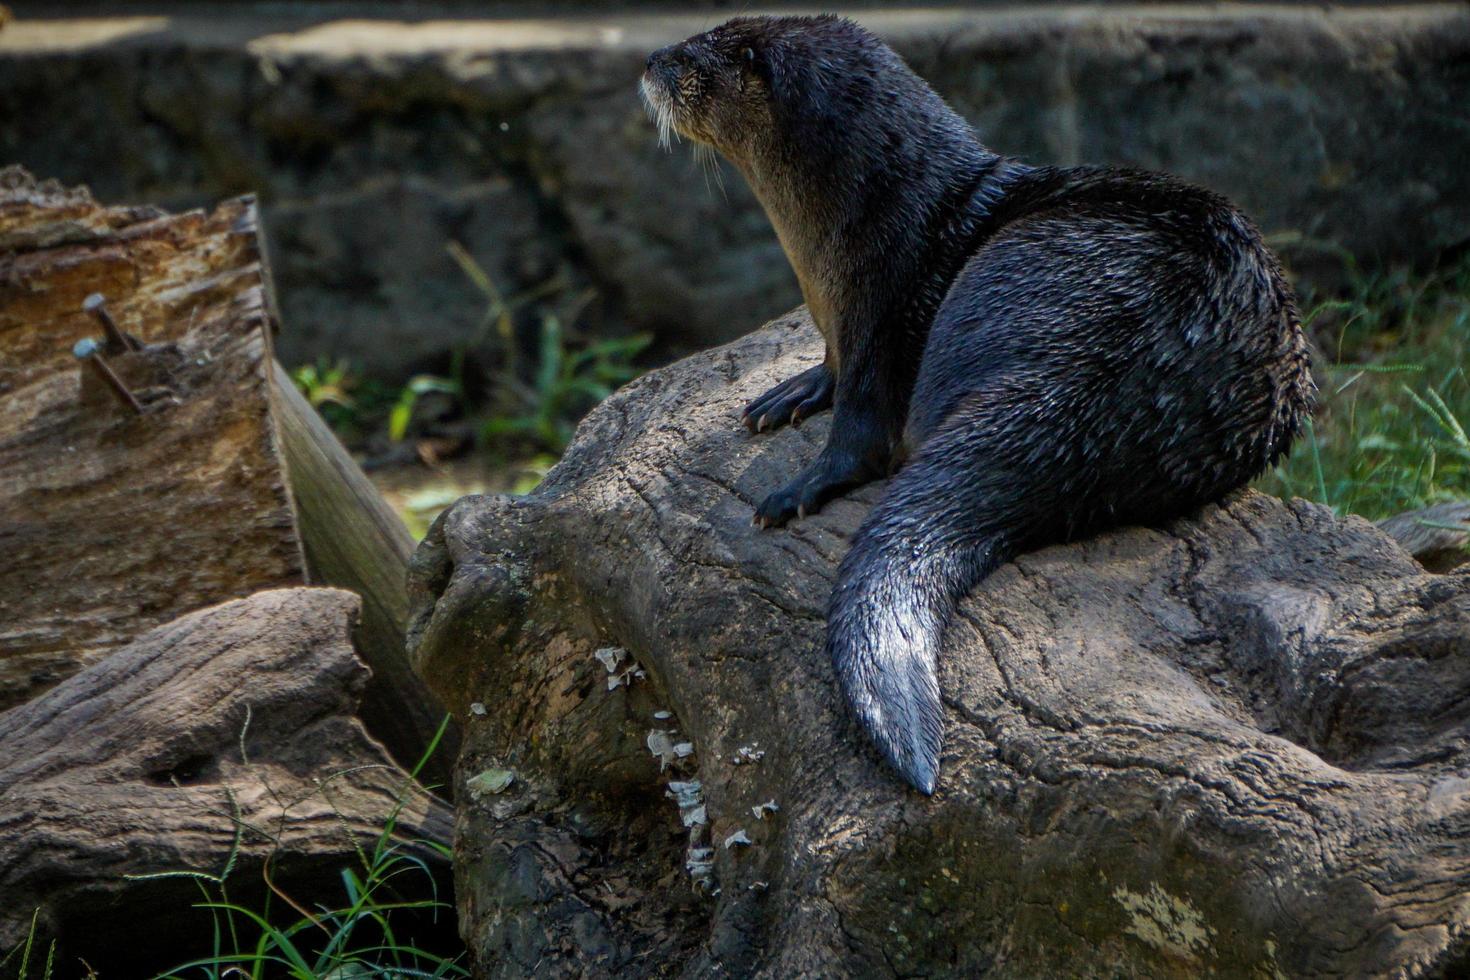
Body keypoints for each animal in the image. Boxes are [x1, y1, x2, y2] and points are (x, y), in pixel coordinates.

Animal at [643, 17, 1311, 799]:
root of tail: (1113, 373)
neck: (858, 231)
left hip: (1001, 276)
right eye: (703, 32)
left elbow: (864, 423)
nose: (650, 61)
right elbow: (833, 371)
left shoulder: (881, 302)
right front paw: (793, 390)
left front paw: (803, 481)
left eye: (702, 56)